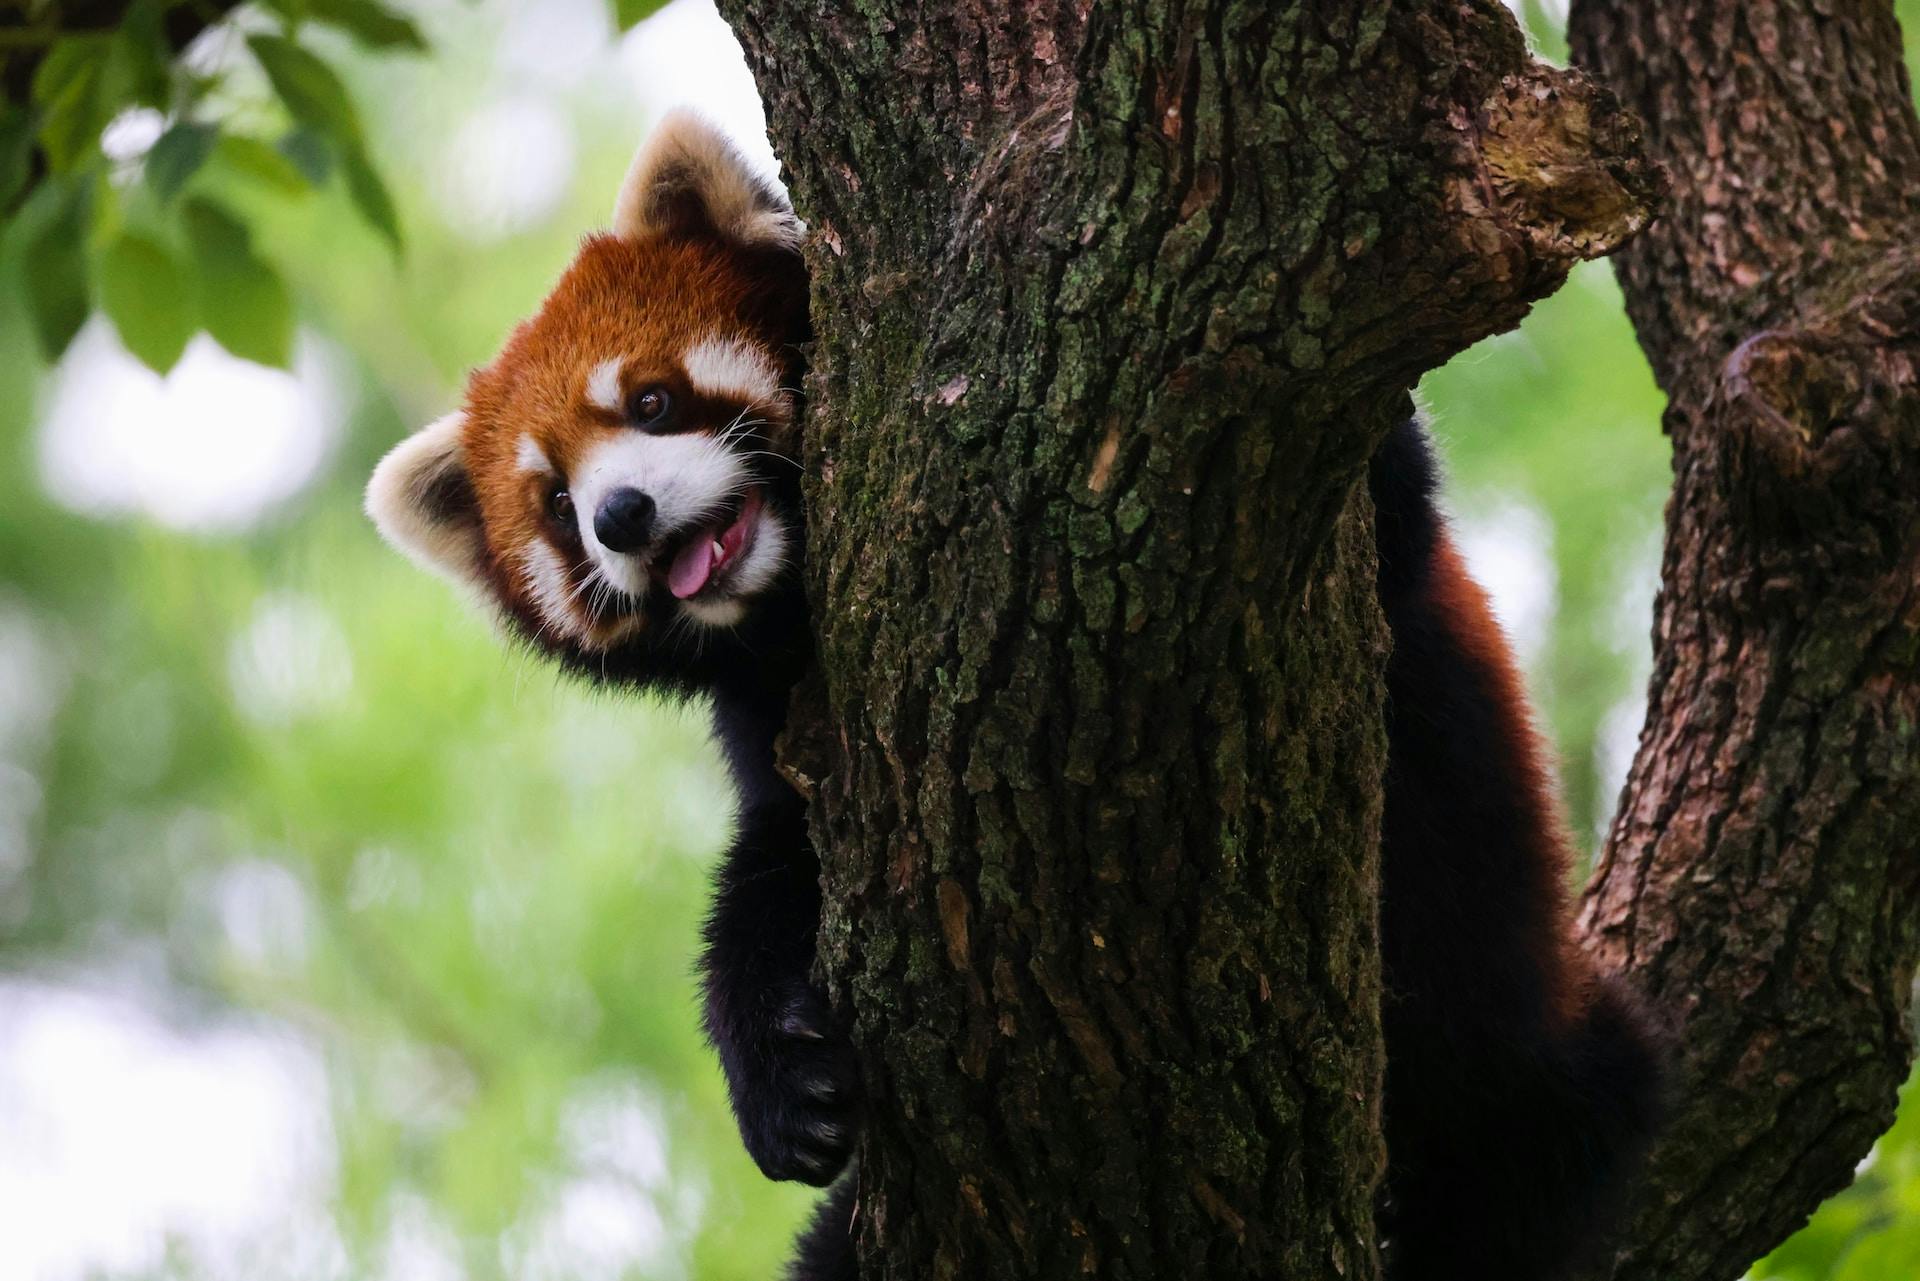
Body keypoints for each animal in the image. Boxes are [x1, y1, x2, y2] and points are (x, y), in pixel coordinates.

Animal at [366, 110, 1658, 1281]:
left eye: (649, 404)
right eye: (554, 505)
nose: (623, 517)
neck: (800, 605)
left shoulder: (1362, 518)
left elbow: (1377, 516)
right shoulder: (788, 732)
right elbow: (775, 870)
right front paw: (779, 1078)